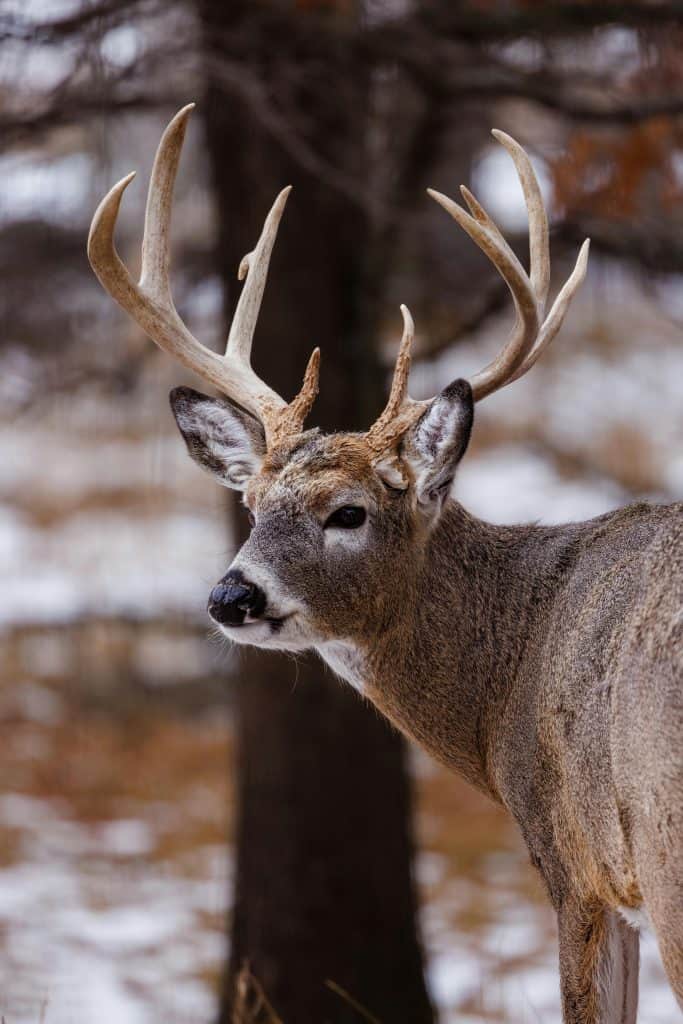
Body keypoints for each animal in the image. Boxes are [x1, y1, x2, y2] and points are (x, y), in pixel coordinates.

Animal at [88, 105, 682, 1023]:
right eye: (252, 506)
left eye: (348, 512)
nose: (229, 596)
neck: (505, 677)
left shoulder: (577, 863)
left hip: (663, 839)